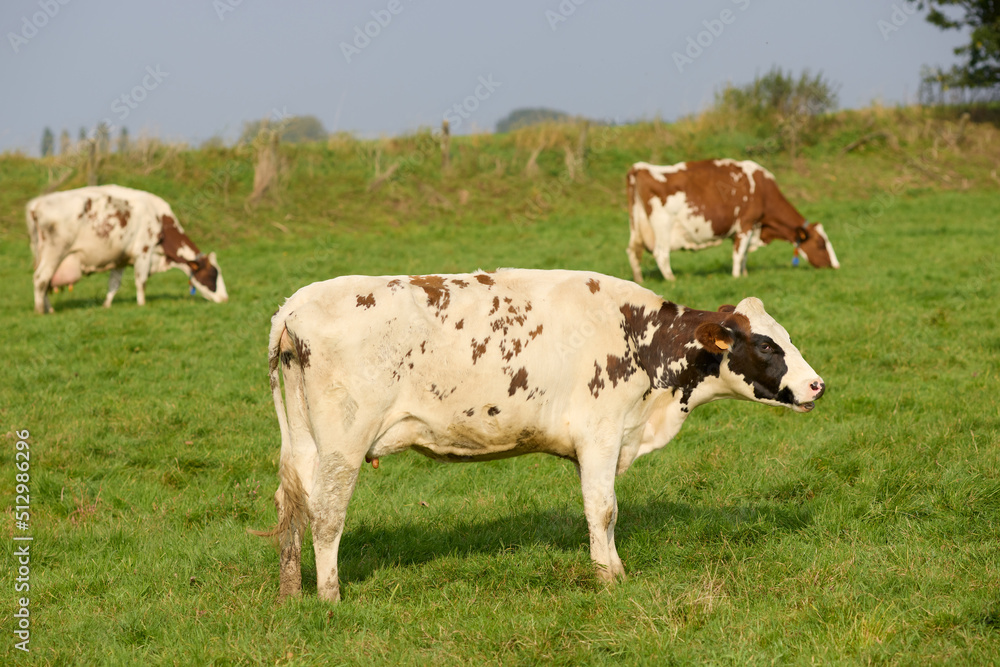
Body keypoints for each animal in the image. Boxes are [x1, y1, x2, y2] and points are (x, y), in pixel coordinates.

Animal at [24, 183, 229, 314]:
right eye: (213, 274)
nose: (225, 299)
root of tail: (37, 203)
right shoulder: (144, 252)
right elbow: (141, 281)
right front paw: (141, 304)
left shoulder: (120, 259)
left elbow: (114, 284)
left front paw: (106, 305)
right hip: (54, 251)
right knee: (41, 279)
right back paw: (40, 311)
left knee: (45, 282)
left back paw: (50, 309)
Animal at [258, 268, 828, 604]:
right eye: (767, 345)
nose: (816, 384)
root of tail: (294, 304)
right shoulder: (601, 433)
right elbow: (603, 509)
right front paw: (609, 579)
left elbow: (602, 508)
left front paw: (613, 569)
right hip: (343, 445)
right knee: (327, 516)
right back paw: (330, 598)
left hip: (304, 443)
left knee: (292, 508)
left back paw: (290, 594)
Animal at [628, 160, 840, 284]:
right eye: (821, 244)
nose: (836, 266)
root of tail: (640, 167)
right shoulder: (746, 224)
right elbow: (738, 255)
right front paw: (737, 277)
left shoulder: (750, 228)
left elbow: (744, 253)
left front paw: (744, 275)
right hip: (663, 225)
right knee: (661, 253)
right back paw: (672, 280)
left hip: (637, 227)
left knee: (633, 252)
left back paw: (639, 281)